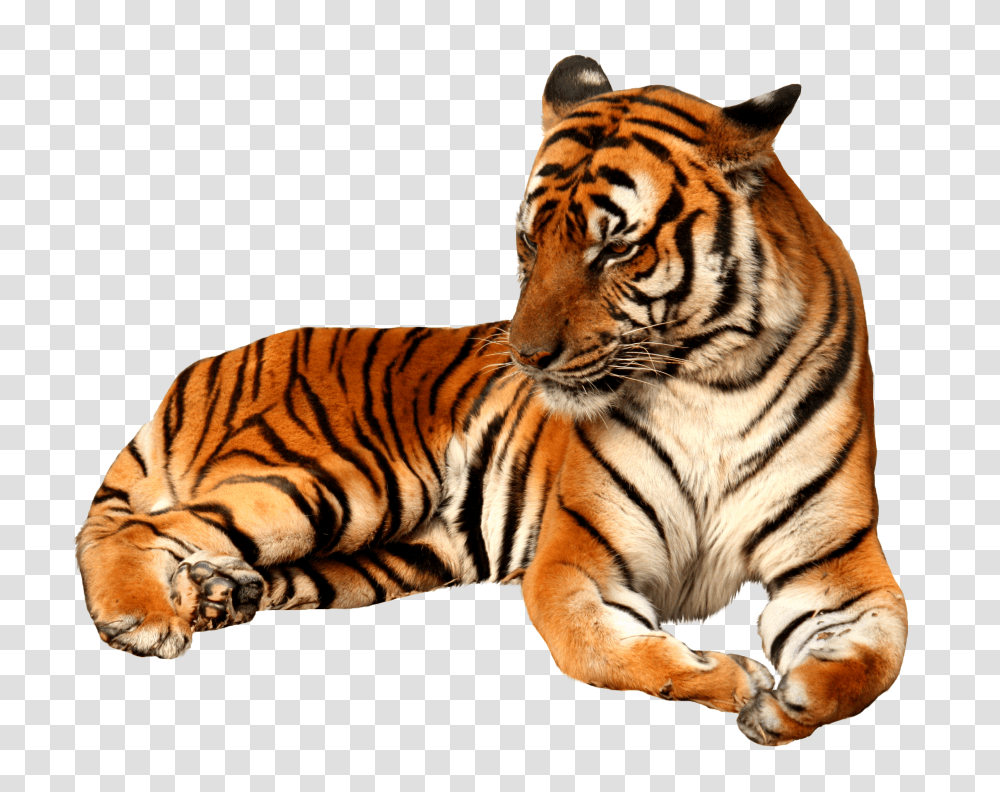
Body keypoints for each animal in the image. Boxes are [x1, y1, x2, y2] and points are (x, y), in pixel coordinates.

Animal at [76, 55, 907, 746]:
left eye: (616, 248)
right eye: (530, 243)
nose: (526, 356)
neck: (708, 382)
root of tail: (202, 367)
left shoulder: (836, 563)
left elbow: (879, 657)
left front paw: (792, 702)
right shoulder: (577, 559)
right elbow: (603, 649)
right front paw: (731, 679)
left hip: (389, 555)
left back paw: (219, 592)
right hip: (338, 482)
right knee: (134, 527)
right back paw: (141, 618)